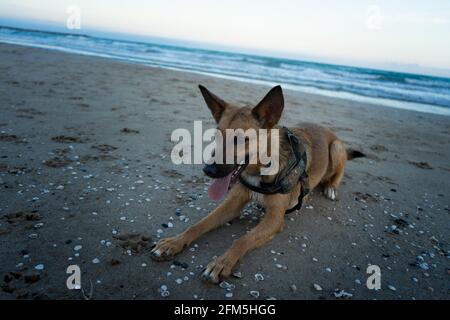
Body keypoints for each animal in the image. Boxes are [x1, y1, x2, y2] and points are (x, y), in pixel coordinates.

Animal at [153, 84, 364, 282]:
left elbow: (242, 240)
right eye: (217, 135)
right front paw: (173, 243)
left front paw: (221, 263)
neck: (260, 169)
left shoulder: (274, 219)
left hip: (336, 148)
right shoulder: (233, 204)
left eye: (240, 139)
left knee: (336, 174)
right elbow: (198, 224)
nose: (208, 171)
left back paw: (330, 188)